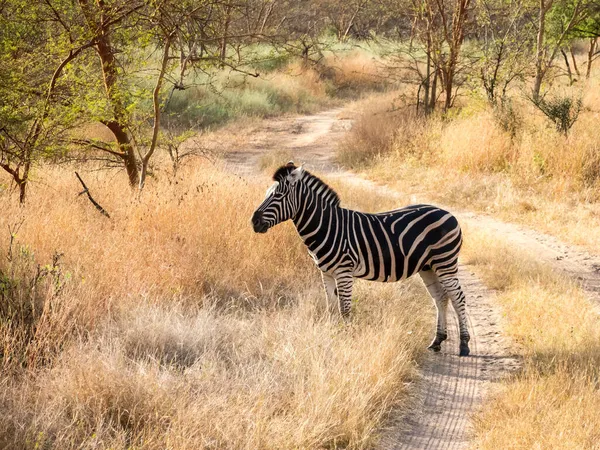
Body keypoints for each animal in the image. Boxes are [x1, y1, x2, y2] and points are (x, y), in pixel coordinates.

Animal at [251, 163, 472, 356]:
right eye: (266, 194)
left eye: (278, 195)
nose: (254, 222)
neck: (327, 226)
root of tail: (449, 213)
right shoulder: (326, 272)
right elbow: (331, 306)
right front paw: (332, 334)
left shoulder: (344, 271)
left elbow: (345, 309)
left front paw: (345, 339)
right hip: (428, 267)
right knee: (441, 298)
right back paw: (437, 341)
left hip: (445, 262)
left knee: (458, 297)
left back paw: (464, 344)